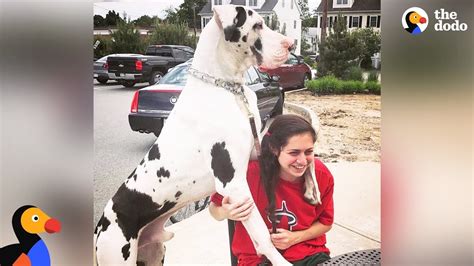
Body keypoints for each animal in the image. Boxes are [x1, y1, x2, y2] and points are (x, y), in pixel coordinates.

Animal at [94, 4, 320, 266]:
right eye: (257, 25)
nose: (291, 45)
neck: (226, 88)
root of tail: (98, 226)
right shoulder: (233, 184)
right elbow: (263, 235)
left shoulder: (256, 150)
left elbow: (311, 159)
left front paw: (311, 189)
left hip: (155, 252)